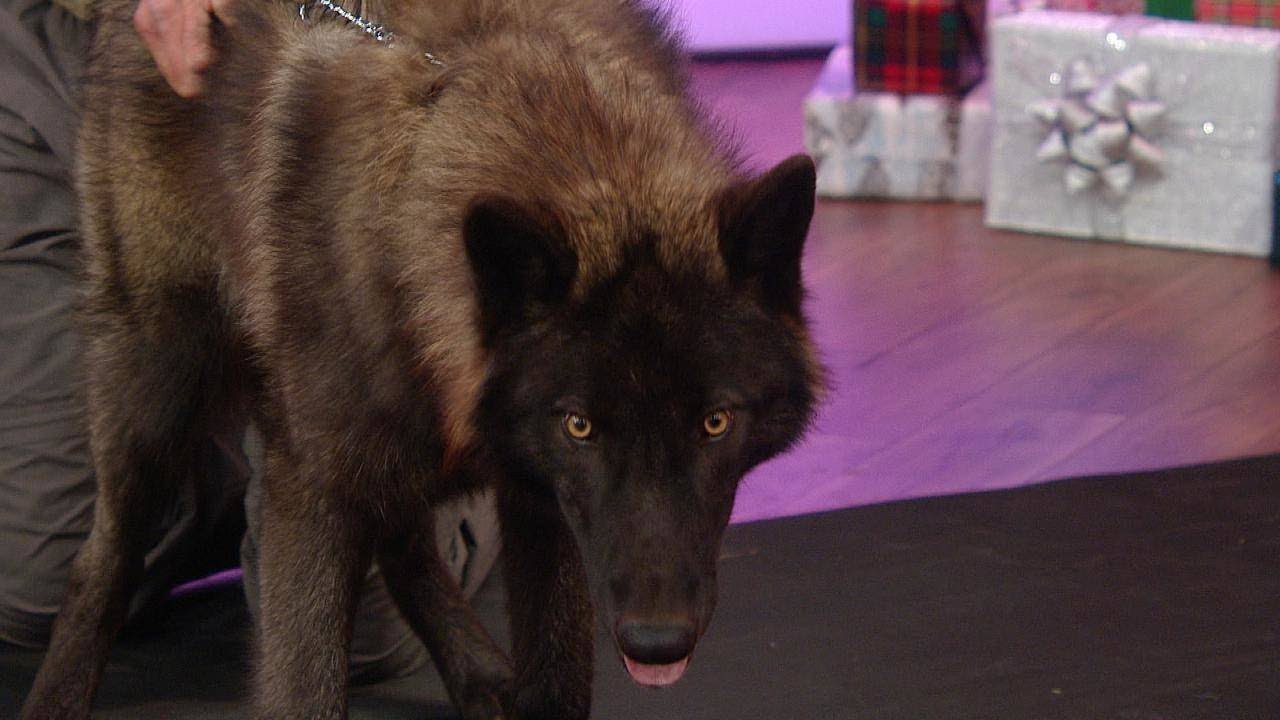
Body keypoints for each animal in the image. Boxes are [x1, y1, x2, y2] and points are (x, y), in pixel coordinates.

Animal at [20, 0, 822, 717]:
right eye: (581, 426)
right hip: (155, 398)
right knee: (99, 564)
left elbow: (557, 675)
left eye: (716, 422)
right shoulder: (310, 496)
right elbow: (305, 688)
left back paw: (480, 676)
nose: (657, 641)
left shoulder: (538, 504)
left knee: (404, 539)